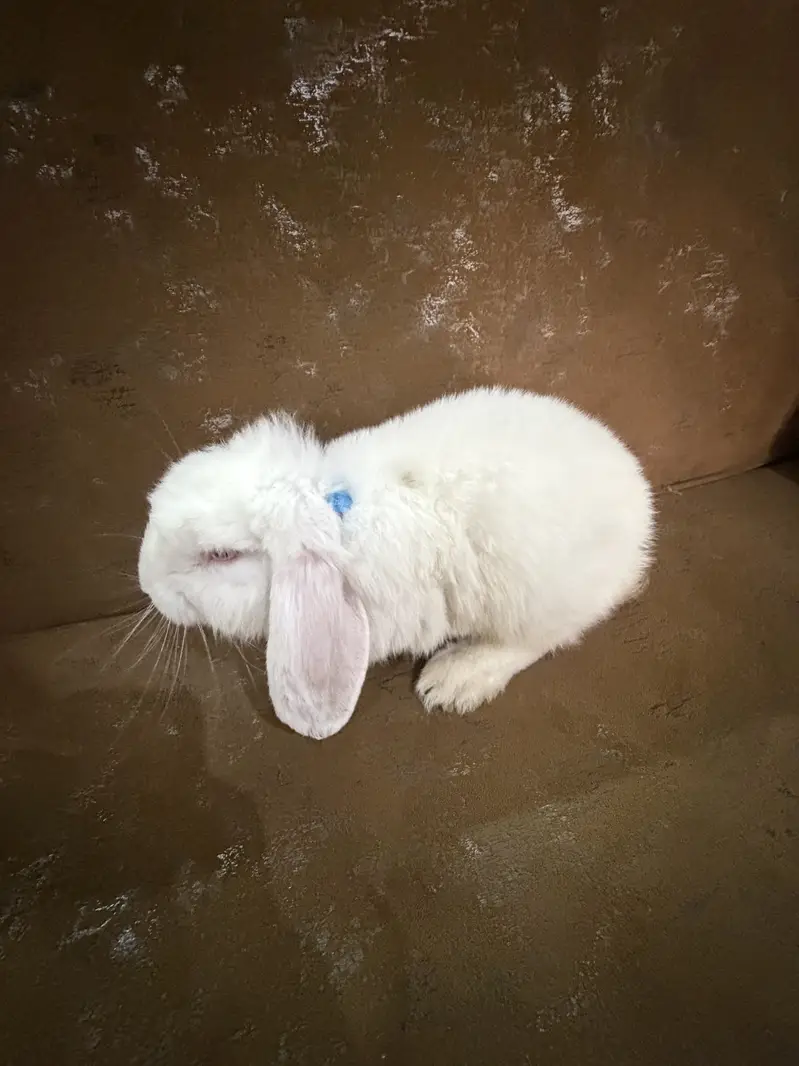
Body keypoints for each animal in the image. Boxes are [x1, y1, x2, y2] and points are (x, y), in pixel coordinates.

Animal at [138, 387, 655, 739]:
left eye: (220, 555)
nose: (147, 586)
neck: (338, 517)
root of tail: (642, 516)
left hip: (532, 599)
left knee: (535, 642)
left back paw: (452, 679)